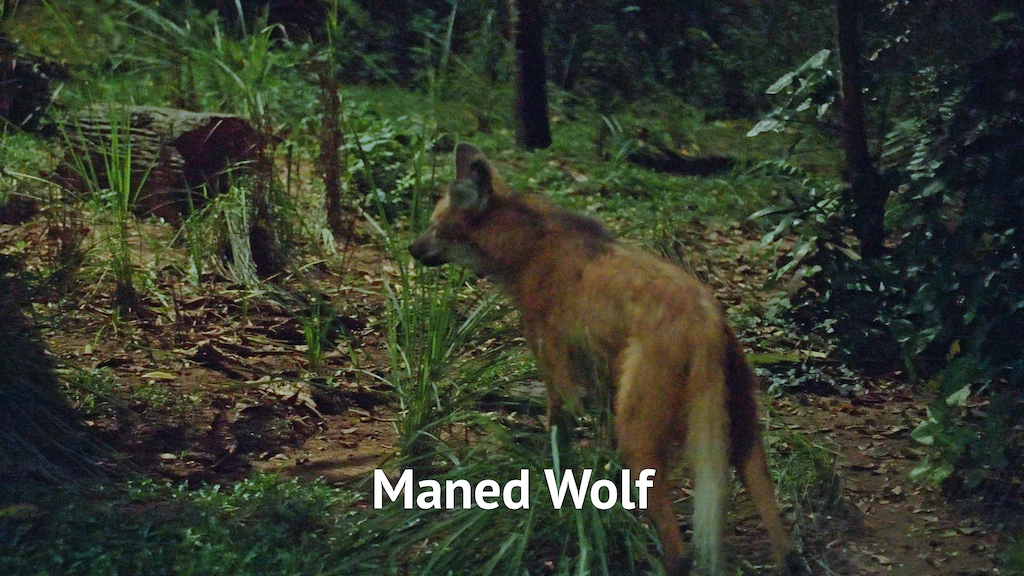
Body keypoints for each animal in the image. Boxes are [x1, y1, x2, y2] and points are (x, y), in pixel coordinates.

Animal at [409, 143, 799, 574]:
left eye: (436, 227)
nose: (411, 248)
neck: (528, 250)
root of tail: (707, 318)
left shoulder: (557, 370)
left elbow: (559, 440)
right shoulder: (598, 380)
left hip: (640, 434)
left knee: (680, 552)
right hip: (737, 431)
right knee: (785, 542)